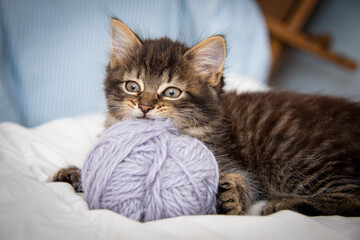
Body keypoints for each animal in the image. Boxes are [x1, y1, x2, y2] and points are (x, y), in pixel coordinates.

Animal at [53, 19, 360, 217]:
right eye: (132, 86)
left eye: (172, 92)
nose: (145, 106)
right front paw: (74, 174)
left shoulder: (228, 159)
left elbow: (244, 179)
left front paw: (233, 198)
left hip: (307, 160)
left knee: (353, 199)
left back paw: (284, 205)